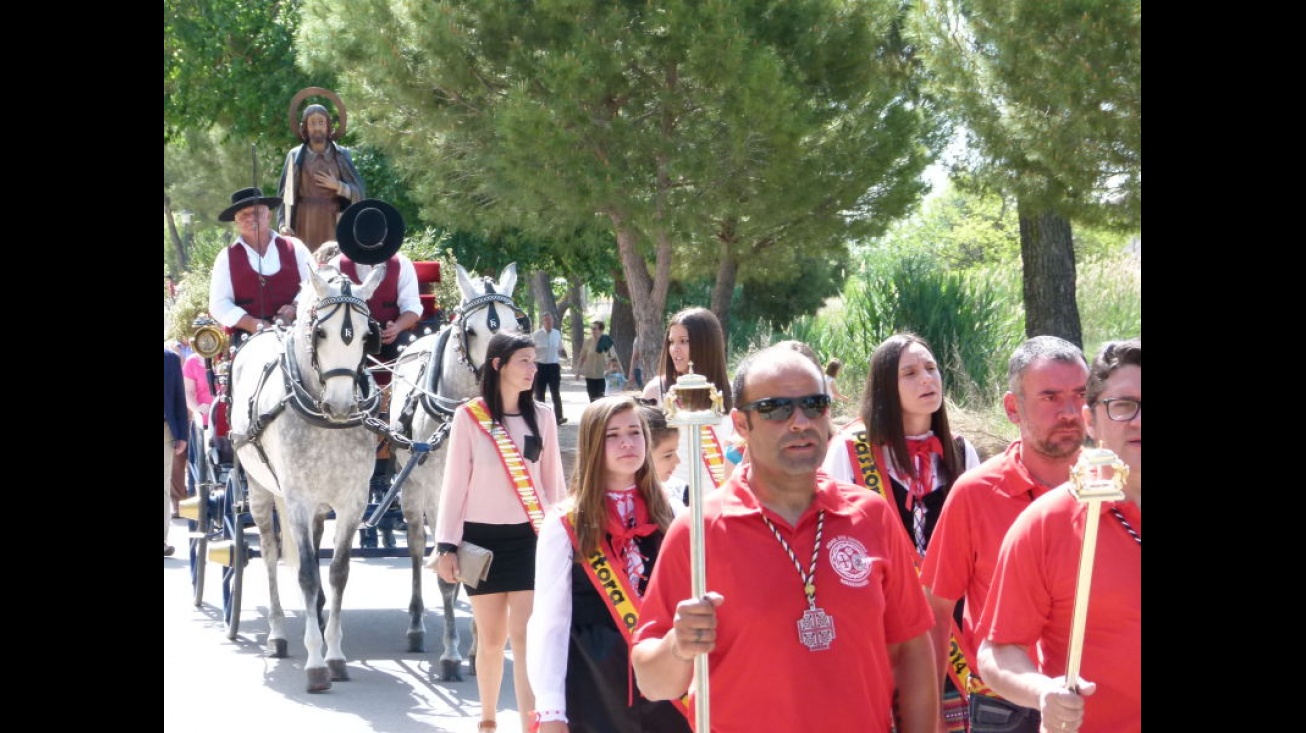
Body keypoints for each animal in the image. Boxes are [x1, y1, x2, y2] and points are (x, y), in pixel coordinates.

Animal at [228, 262, 386, 689]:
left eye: (366, 335)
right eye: (321, 333)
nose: (342, 405)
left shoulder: (352, 502)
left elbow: (336, 573)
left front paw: (334, 653)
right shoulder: (296, 500)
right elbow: (306, 575)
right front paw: (316, 663)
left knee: (313, 551)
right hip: (260, 491)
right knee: (269, 554)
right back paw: (277, 634)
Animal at [386, 262, 525, 679]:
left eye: (517, 324)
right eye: (473, 330)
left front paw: (480, 648)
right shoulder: (438, 496)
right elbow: (447, 574)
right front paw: (451, 654)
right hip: (412, 488)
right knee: (417, 548)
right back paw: (416, 626)